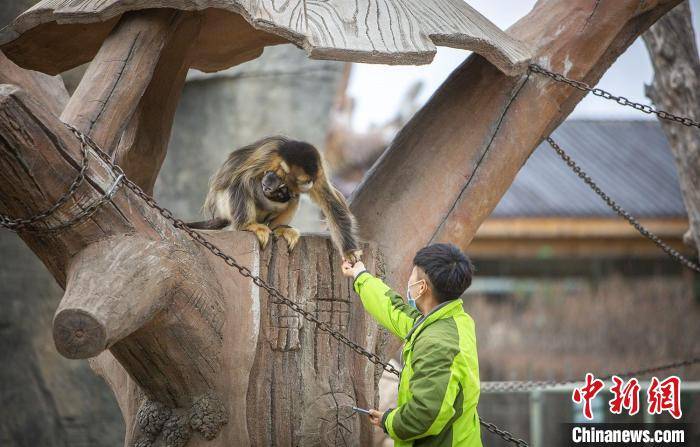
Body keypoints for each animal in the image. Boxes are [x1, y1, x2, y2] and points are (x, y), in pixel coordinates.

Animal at [189, 135, 364, 264]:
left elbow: (331, 204)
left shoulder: (318, 171)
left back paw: (278, 228)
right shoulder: (268, 157)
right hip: (225, 204)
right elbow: (239, 180)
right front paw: (249, 224)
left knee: (294, 198)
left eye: (310, 180)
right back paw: (249, 224)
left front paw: (349, 252)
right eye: (305, 180)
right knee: (242, 184)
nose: (309, 183)